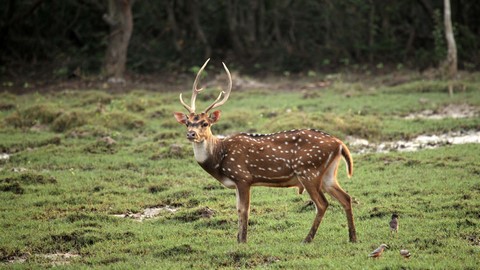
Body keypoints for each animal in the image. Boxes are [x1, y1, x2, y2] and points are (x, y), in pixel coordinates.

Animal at [173, 60, 356, 244]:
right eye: (187, 123)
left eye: (205, 123)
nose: (191, 134)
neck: (219, 159)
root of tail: (340, 144)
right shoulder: (237, 182)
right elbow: (238, 209)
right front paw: (238, 239)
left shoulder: (243, 177)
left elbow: (244, 210)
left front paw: (243, 241)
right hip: (327, 174)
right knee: (346, 197)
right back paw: (353, 237)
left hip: (308, 170)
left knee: (322, 203)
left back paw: (307, 239)